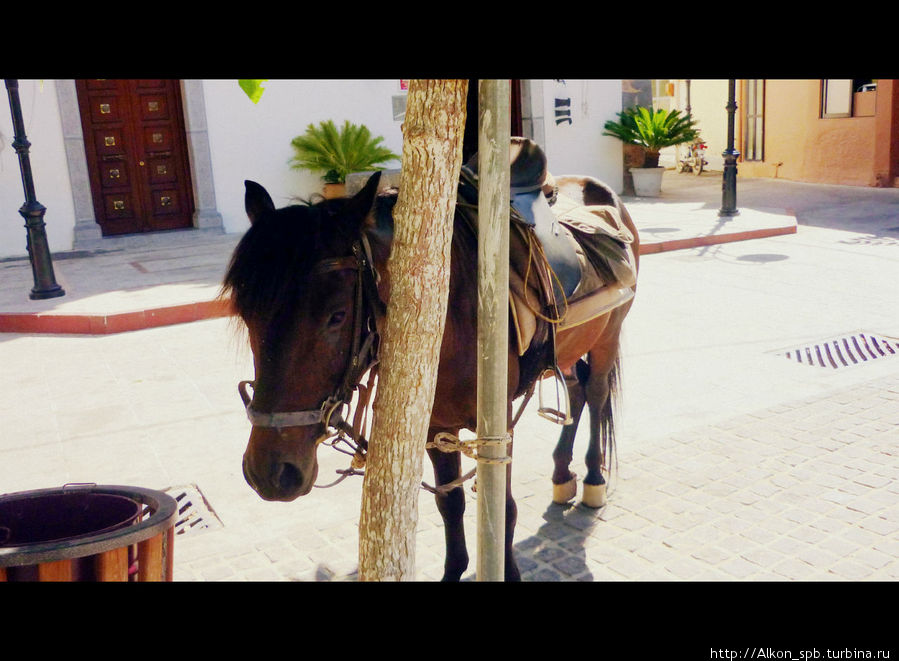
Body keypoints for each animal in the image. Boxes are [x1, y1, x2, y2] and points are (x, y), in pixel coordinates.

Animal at [225, 155, 640, 576]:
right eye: (246, 314)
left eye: (337, 316)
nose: (271, 474)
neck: (448, 315)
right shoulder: (435, 424)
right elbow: (449, 504)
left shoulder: (498, 425)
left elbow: (502, 508)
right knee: (576, 391)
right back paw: (561, 474)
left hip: (608, 336)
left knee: (596, 393)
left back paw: (592, 478)